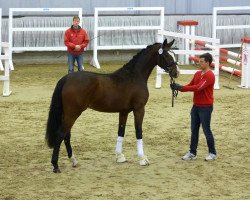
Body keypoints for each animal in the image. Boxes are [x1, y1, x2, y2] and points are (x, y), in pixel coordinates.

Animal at [46, 38, 179, 172]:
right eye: (166, 55)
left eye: (173, 54)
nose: (176, 72)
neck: (134, 76)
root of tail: (66, 78)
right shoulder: (139, 109)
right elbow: (138, 131)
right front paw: (142, 159)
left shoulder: (124, 111)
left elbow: (121, 132)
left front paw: (119, 157)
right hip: (72, 113)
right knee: (61, 135)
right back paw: (55, 165)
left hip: (68, 114)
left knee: (66, 135)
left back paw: (73, 160)